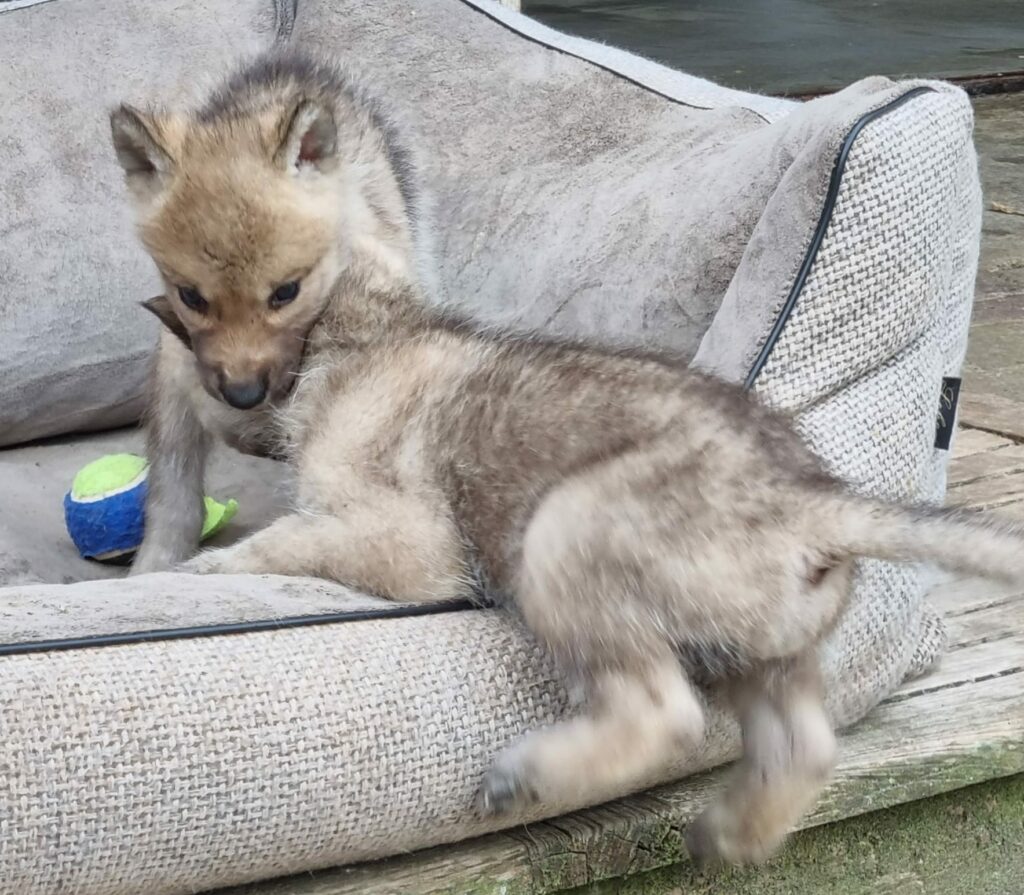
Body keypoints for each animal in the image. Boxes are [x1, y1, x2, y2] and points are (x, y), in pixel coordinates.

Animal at [110, 51, 1024, 865]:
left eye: (283, 292)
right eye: (192, 298)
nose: (233, 393)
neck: (369, 327)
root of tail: (813, 498)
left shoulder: (409, 543)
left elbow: (287, 540)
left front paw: (198, 572)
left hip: (564, 536)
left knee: (666, 713)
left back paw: (531, 771)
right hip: (767, 649)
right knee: (804, 745)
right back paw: (732, 834)